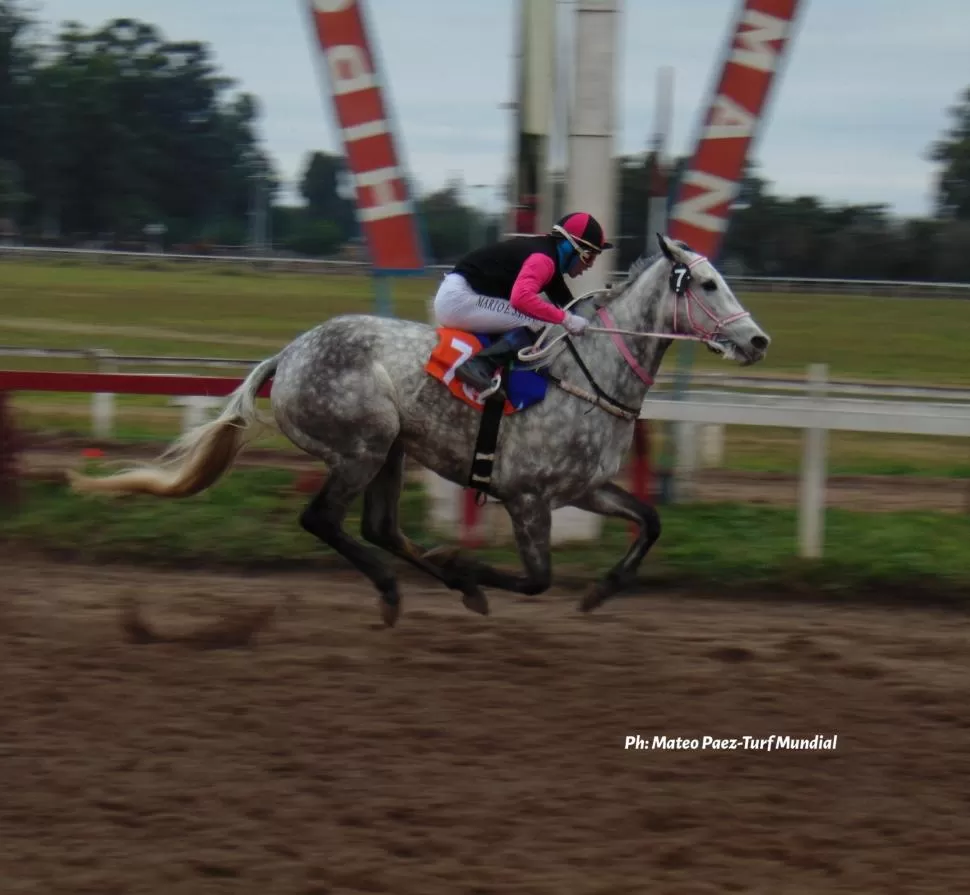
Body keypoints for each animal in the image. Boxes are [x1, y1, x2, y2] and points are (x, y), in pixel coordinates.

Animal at [68, 234, 768, 628]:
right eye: (709, 284)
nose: (758, 341)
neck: (588, 372)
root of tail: (288, 355)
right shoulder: (528, 496)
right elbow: (537, 577)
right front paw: (466, 562)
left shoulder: (583, 488)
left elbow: (649, 521)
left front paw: (600, 591)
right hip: (363, 443)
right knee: (323, 519)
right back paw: (399, 588)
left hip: (392, 451)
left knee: (380, 526)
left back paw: (434, 582)